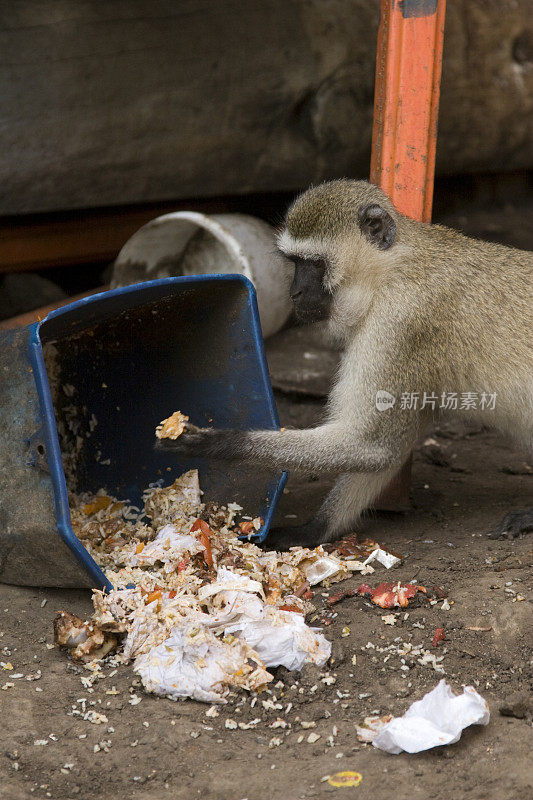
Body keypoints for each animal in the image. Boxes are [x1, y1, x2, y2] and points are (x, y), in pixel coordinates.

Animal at [158, 179, 532, 548]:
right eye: (294, 262)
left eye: (313, 264)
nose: (294, 293)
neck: (392, 268)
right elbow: (383, 450)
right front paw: (314, 530)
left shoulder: (400, 322)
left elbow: (371, 445)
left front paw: (221, 443)